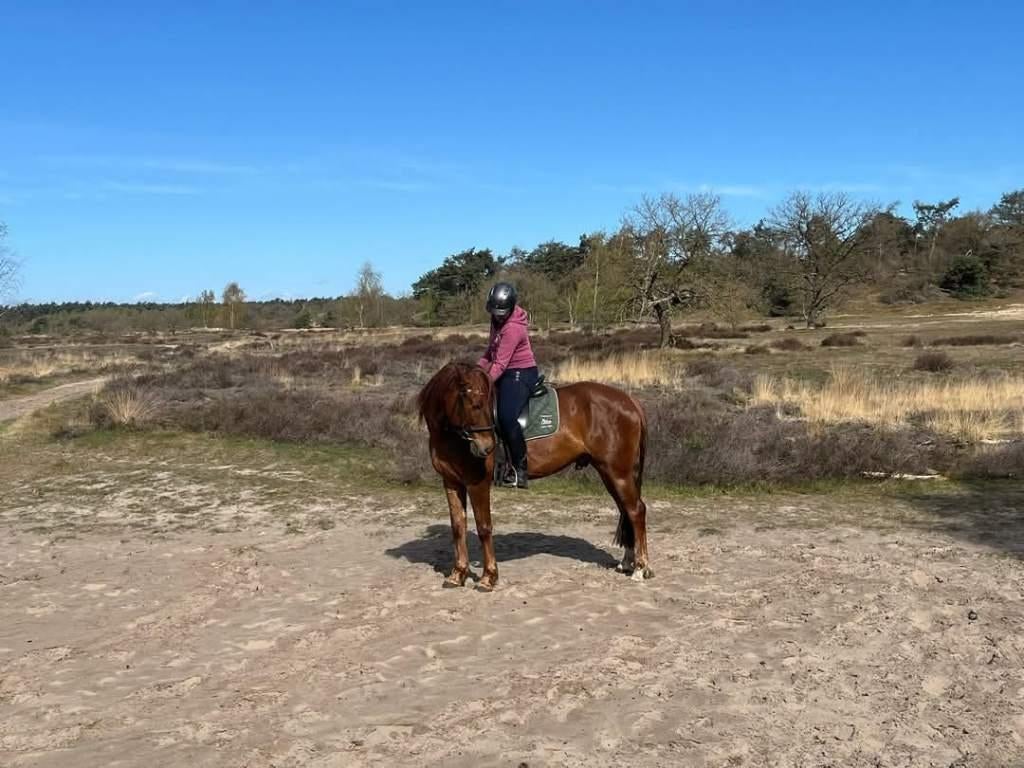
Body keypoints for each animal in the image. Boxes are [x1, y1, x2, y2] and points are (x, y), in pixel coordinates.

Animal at [417, 361, 651, 591]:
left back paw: (641, 569)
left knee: (636, 511)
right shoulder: (452, 482)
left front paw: (488, 577)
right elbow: (458, 527)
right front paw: (457, 575)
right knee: (626, 510)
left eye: (483, 403)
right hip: (609, 473)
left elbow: (484, 527)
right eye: (472, 403)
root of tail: (630, 401)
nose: (487, 447)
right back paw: (627, 563)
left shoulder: (477, 484)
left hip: (618, 473)